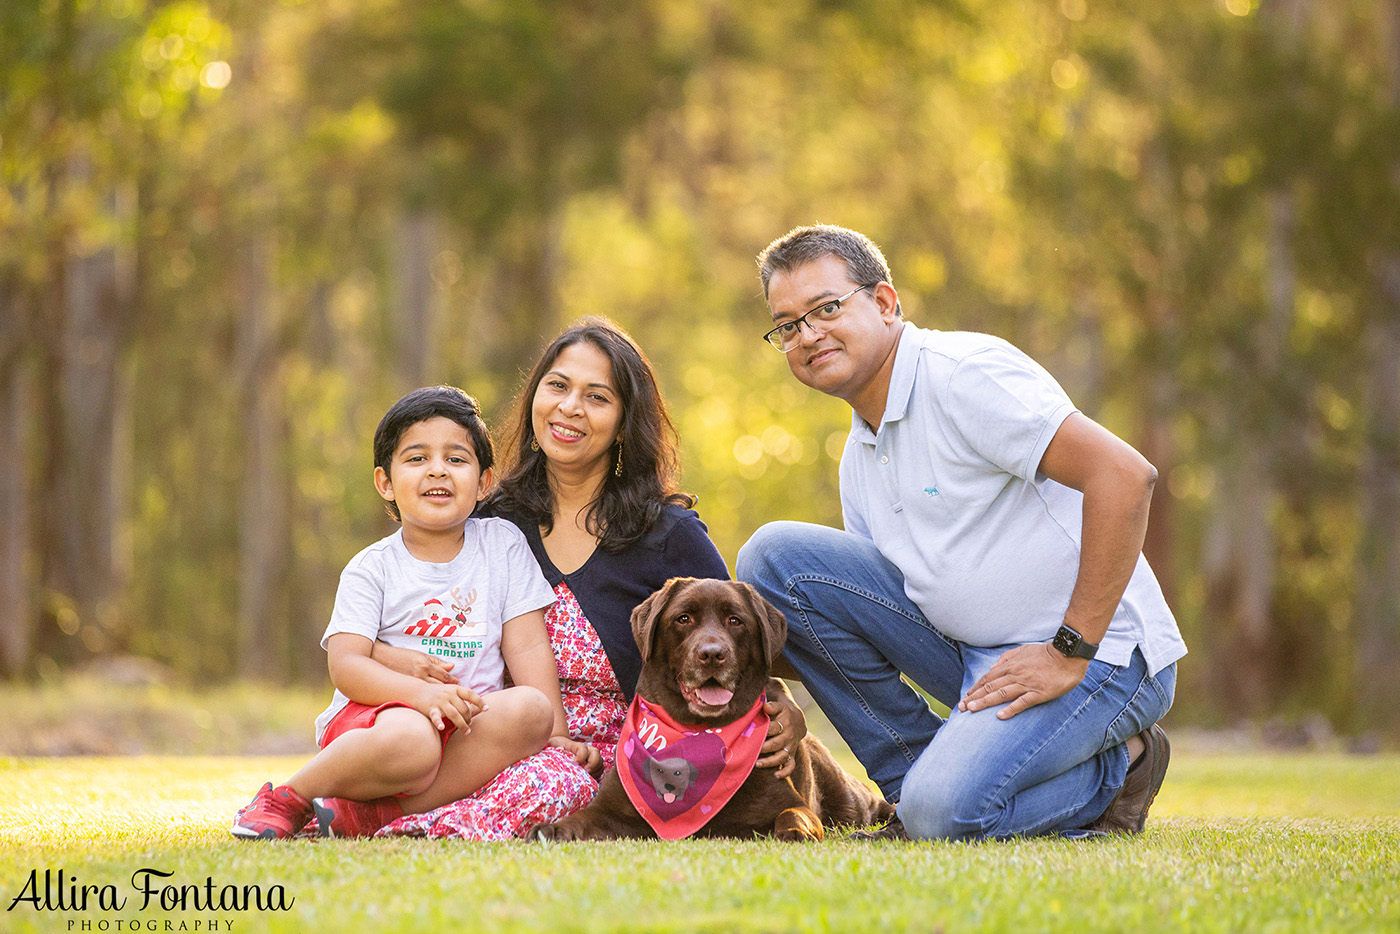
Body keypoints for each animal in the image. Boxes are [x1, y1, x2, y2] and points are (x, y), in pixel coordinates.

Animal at [529, 576, 890, 840]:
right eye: (683, 619)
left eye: (735, 620)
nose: (712, 654)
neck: (694, 729)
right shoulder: (612, 810)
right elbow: (580, 818)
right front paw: (551, 829)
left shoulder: (792, 804)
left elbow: (792, 814)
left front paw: (795, 833)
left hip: (850, 801)